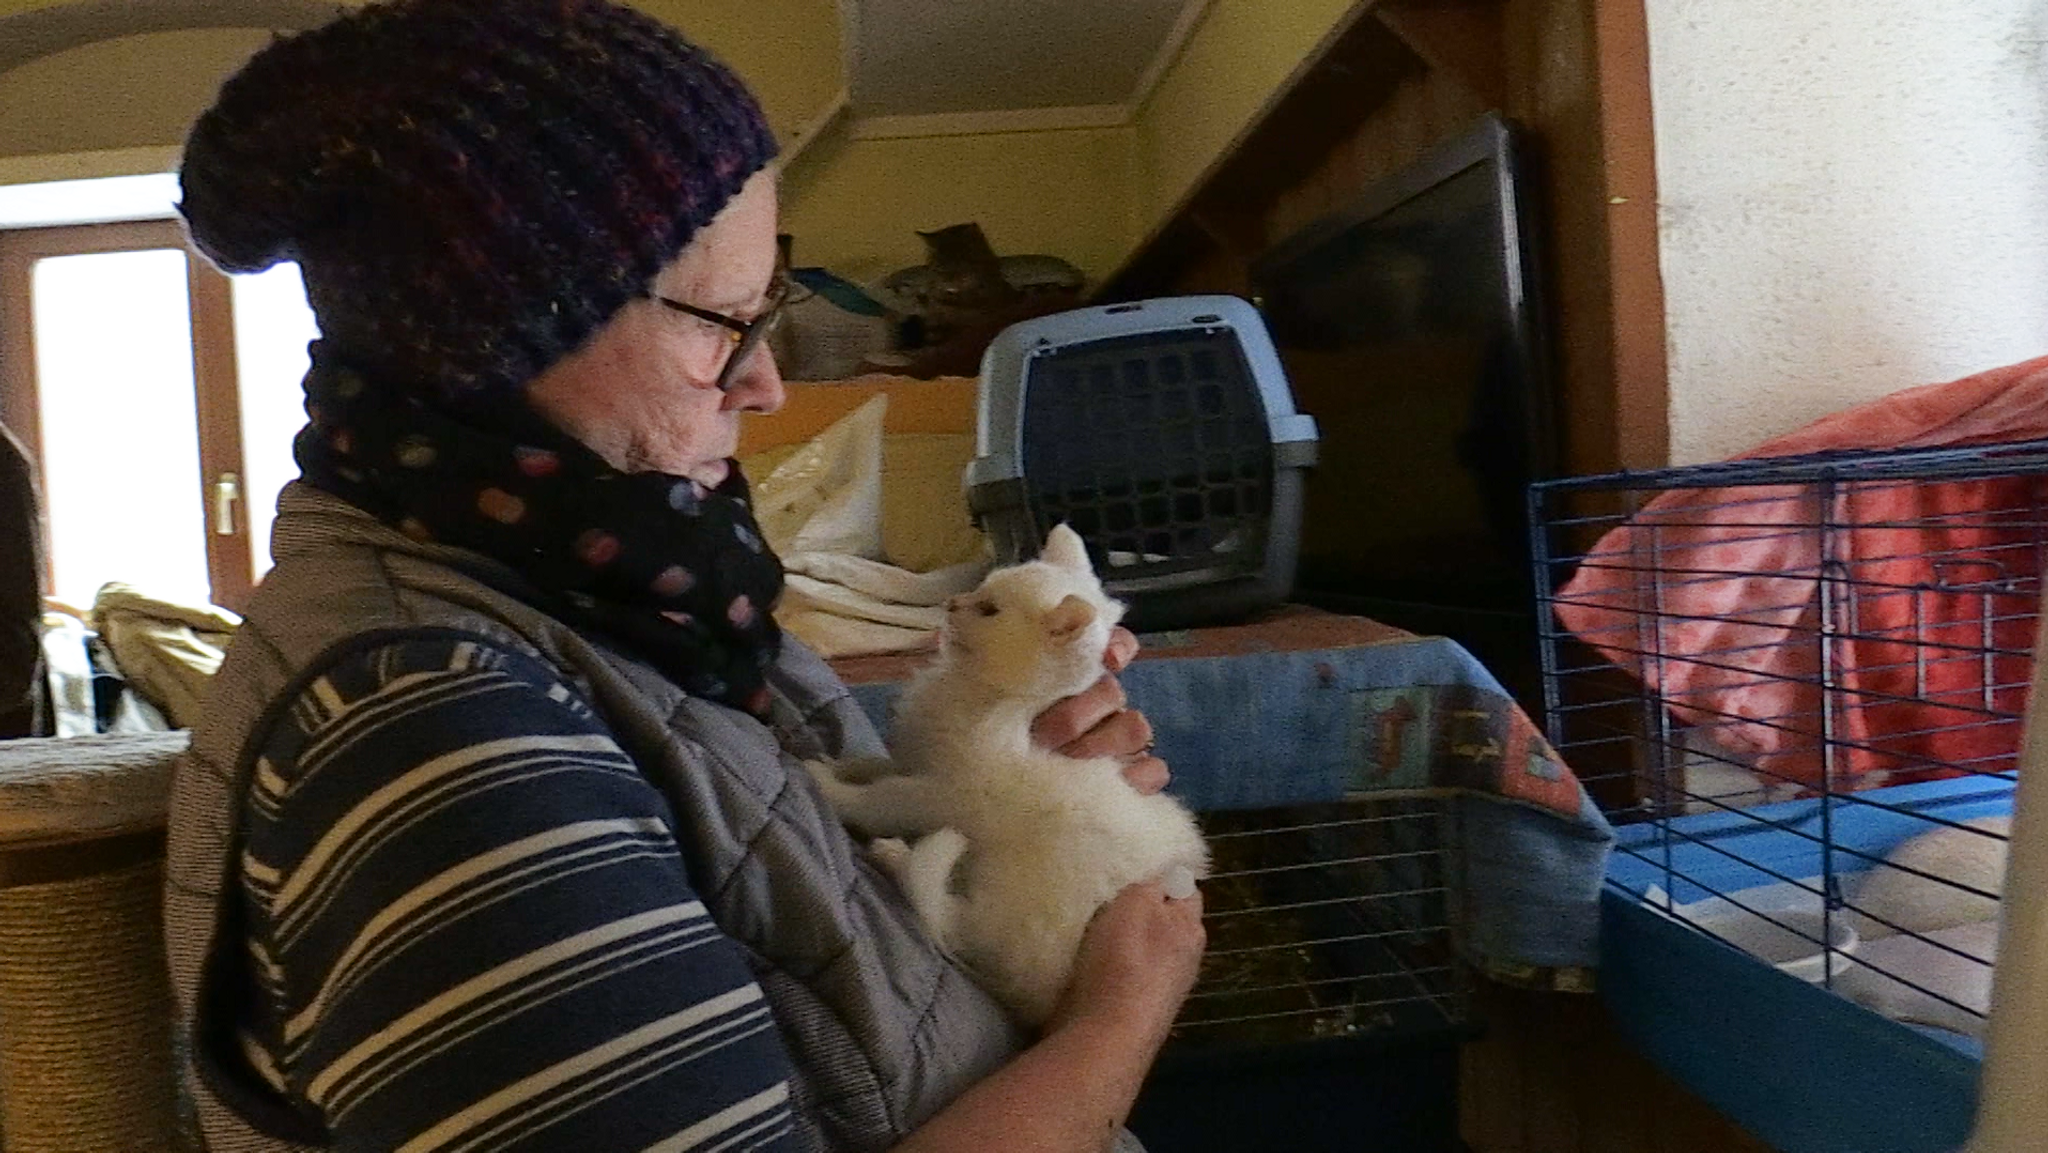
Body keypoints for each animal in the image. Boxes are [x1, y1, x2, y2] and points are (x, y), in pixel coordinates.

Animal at [802, 528, 1212, 1023]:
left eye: (989, 610)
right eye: (980, 588)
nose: (952, 603)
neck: (988, 695)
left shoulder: (941, 795)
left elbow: (881, 797)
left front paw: (829, 786)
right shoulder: (921, 760)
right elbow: (881, 765)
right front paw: (844, 765)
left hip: (1016, 904)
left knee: (952, 916)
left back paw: (896, 856)